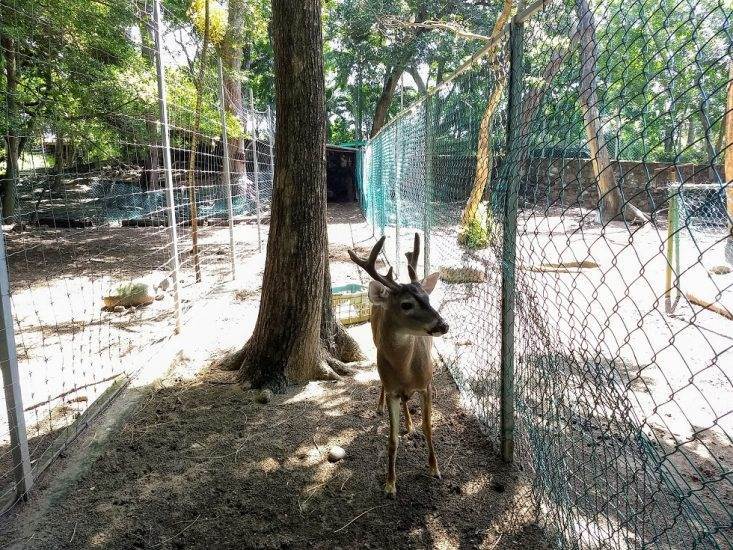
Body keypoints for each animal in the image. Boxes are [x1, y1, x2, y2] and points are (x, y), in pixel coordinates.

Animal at [348, 233, 448, 500]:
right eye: (406, 304)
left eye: (428, 298)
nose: (443, 324)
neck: (404, 369)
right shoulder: (393, 387)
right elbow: (392, 439)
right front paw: (390, 484)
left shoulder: (426, 384)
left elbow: (428, 427)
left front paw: (435, 469)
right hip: (375, 349)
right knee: (385, 386)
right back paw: (381, 407)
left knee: (408, 403)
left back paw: (410, 424)